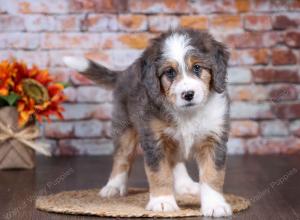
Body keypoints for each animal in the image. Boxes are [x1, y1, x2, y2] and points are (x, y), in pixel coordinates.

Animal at [63, 28, 232, 217]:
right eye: (170, 72)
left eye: (197, 67)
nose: (188, 94)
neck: (187, 114)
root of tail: (125, 72)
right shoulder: (154, 139)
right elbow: (160, 173)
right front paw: (163, 202)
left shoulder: (214, 138)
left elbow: (213, 174)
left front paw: (215, 205)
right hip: (125, 128)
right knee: (122, 158)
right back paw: (114, 187)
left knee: (175, 161)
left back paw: (184, 185)